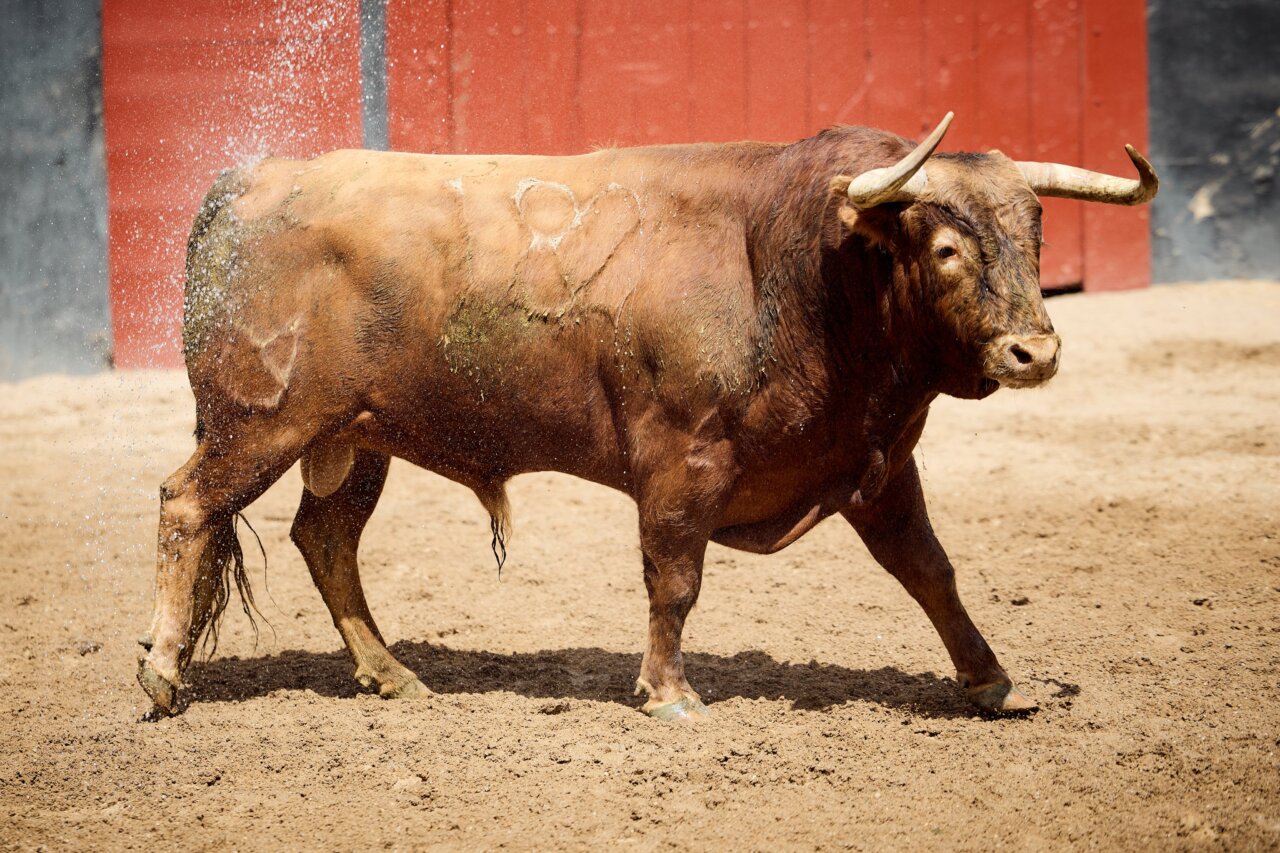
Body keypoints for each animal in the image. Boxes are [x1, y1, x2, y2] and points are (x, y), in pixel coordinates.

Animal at [136, 112, 1157, 720]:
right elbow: (675, 578)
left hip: (353, 437)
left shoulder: (876, 466)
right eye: (945, 247)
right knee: (189, 506)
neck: (798, 268)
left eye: (1034, 235)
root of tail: (248, 182)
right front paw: (668, 692)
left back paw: (391, 674)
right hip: (259, 426)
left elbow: (930, 571)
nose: (1035, 352)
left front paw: (988, 678)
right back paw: (161, 672)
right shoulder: (681, 462)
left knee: (325, 539)